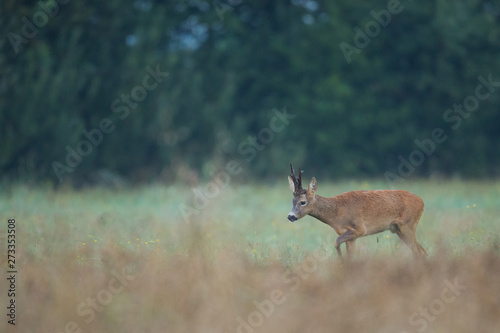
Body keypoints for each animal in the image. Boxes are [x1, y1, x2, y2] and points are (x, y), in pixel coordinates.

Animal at [288, 165, 428, 258]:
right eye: (292, 201)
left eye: (303, 202)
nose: (290, 216)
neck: (336, 212)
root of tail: (422, 202)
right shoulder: (351, 236)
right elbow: (350, 256)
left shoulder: (359, 228)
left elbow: (336, 242)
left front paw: (341, 260)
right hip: (398, 229)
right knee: (422, 251)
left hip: (408, 225)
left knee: (419, 252)